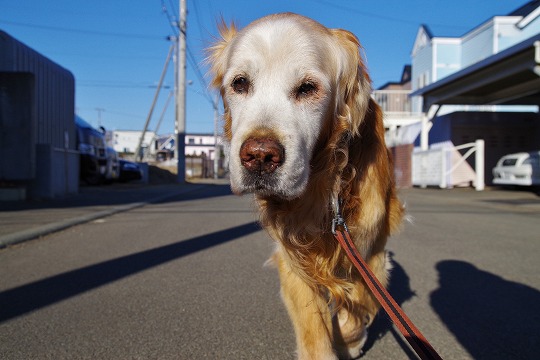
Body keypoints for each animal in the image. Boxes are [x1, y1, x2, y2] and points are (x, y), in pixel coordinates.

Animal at [209, 12, 402, 358]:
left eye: (307, 88)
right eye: (239, 83)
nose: (259, 156)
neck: (323, 188)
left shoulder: (371, 251)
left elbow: (359, 303)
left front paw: (350, 339)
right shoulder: (291, 256)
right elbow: (314, 326)